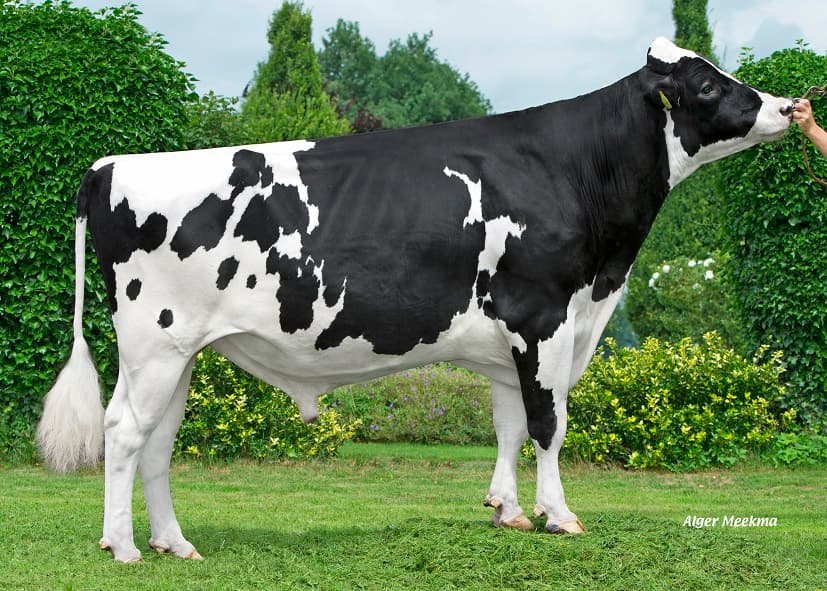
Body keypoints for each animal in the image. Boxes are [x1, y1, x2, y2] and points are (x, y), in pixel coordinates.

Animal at [37, 37, 794, 562]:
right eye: (708, 83)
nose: (788, 107)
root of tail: (111, 165)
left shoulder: (510, 338)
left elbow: (509, 424)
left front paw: (507, 510)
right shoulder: (544, 318)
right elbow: (548, 425)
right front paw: (559, 515)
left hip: (180, 351)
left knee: (157, 440)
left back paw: (174, 543)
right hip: (154, 342)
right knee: (122, 432)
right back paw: (123, 547)